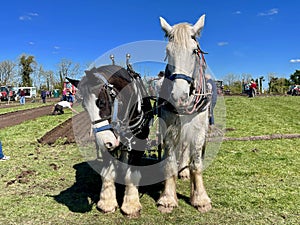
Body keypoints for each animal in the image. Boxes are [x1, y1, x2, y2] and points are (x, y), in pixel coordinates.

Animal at [158, 15, 212, 213]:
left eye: (194, 51)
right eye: (168, 51)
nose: (179, 96)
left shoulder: (198, 129)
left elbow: (196, 163)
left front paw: (200, 198)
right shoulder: (169, 128)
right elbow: (169, 163)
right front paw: (167, 198)